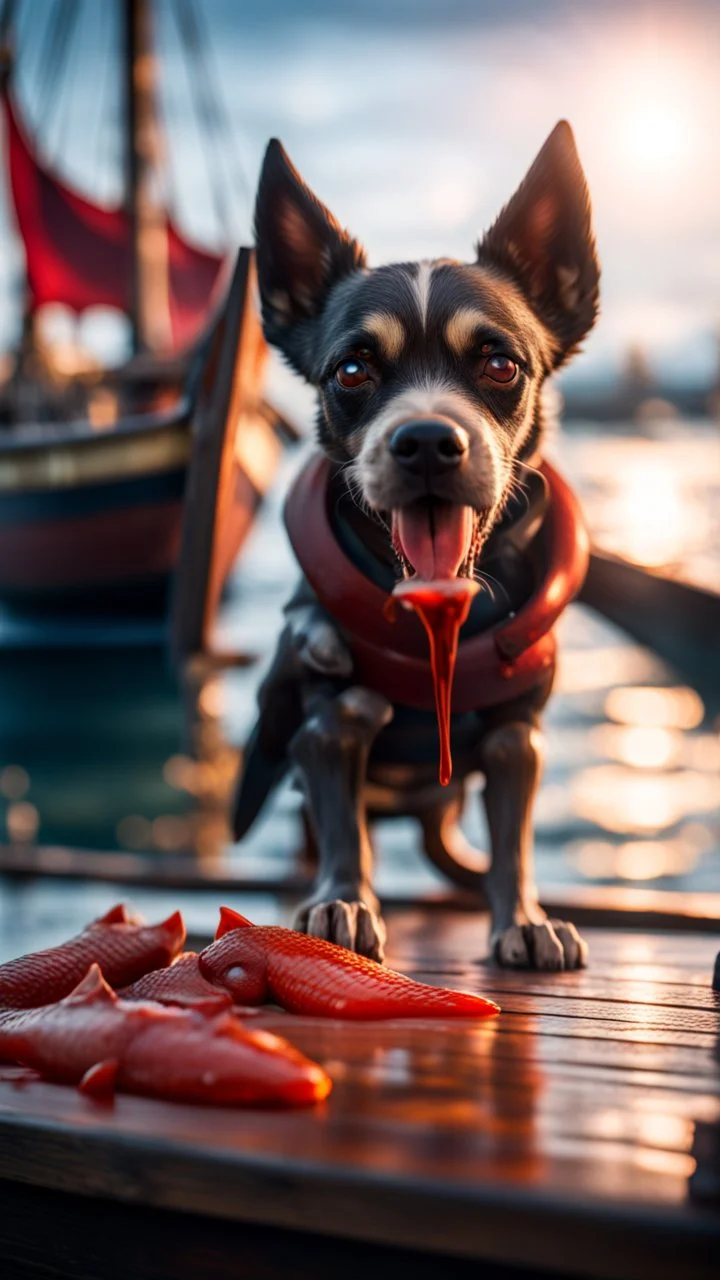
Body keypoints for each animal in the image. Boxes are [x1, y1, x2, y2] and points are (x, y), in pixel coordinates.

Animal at [233, 124, 597, 972]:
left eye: (500, 363)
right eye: (351, 370)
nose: (428, 440)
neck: (440, 624)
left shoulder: (516, 738)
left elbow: (514, 839)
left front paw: (522, 916)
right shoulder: (331, 722)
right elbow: (344, 830)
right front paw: (342, 901)